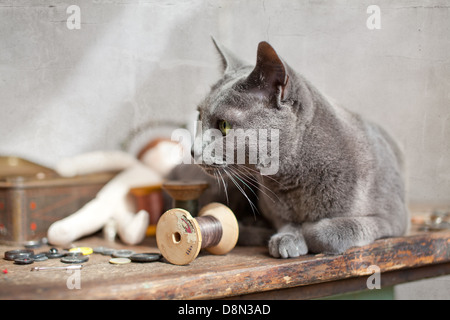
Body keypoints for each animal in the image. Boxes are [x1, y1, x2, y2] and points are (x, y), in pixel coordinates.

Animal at [176, 40, 412, 258]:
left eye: (224, 125)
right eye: (199, 115)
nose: (193, 150)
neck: (294, 183)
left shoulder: (393, 217)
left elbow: (329, 231)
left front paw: (307, 231)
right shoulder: (277, 211)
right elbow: (286, 223)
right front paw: (287, 238)